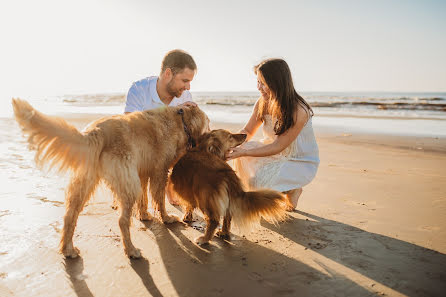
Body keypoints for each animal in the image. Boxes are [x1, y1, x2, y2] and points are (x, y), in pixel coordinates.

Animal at [11, 99, 210, 256]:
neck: (181, 120)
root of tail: (96, 131)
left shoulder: (143, 172)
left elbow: (144, 200)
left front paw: (144, 215)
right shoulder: (159, 172)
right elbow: (159, 200)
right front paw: (167, 218)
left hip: (86, 183)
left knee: (70, 215)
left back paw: (68, 250)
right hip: (128, 183)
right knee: (122, 221)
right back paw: (131, 251)